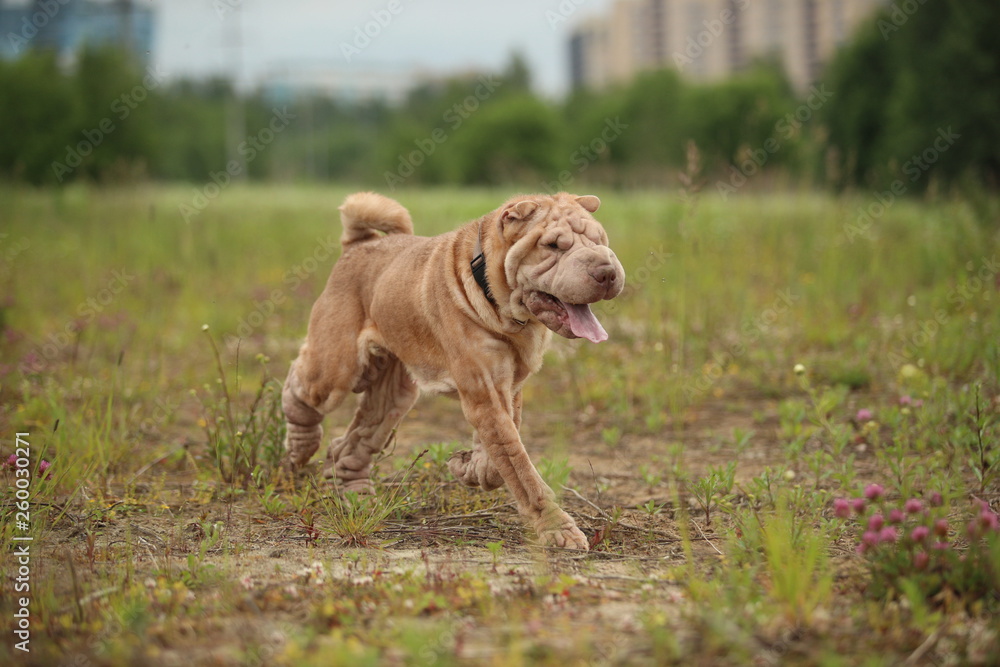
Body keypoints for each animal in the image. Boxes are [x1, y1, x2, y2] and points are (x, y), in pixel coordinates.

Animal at [282, 190, 620, 552]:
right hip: (336, 368)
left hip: (395, 394)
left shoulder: (506, 390)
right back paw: (300, 446)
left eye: (599, 239)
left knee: (352, 444)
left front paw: (467, 467)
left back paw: (357, 495)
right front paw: (558, 529)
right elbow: (521, 468)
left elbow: (501, 456)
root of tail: (359, 243)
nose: (607, 272)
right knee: (299, 390)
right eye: (554, 246)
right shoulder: (484, 392)